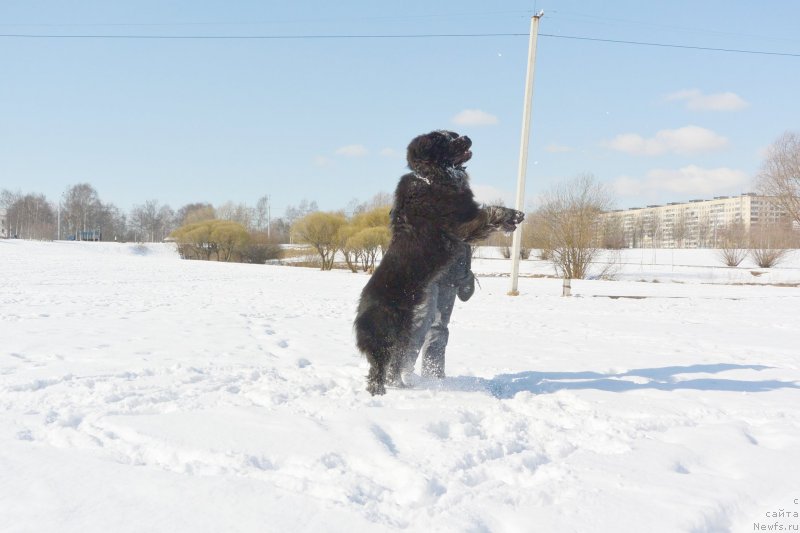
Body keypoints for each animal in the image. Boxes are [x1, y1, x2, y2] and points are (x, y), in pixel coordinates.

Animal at [354, 130, 524, 392]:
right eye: (444, 141)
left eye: (453, 135)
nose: (466, 136)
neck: (431, 178)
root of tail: (360, 313)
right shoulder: (461, 223)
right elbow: (490, 213)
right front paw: (511, 216)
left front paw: (513, 219)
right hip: (388, 335)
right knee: (377, 369)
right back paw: (379, 393)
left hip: (404, 334)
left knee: (394, 364)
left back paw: (401, 386)